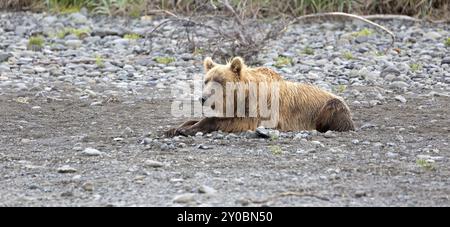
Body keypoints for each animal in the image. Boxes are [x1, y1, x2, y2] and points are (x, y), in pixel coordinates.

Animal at [165, 56, 356, 137]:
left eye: (220, 81)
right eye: (206, 81)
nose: (203, 98)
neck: (240, 98)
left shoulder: (257, 111)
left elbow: (227, 121)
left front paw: (187, 129)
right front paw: (175, 128)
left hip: (331, 106)